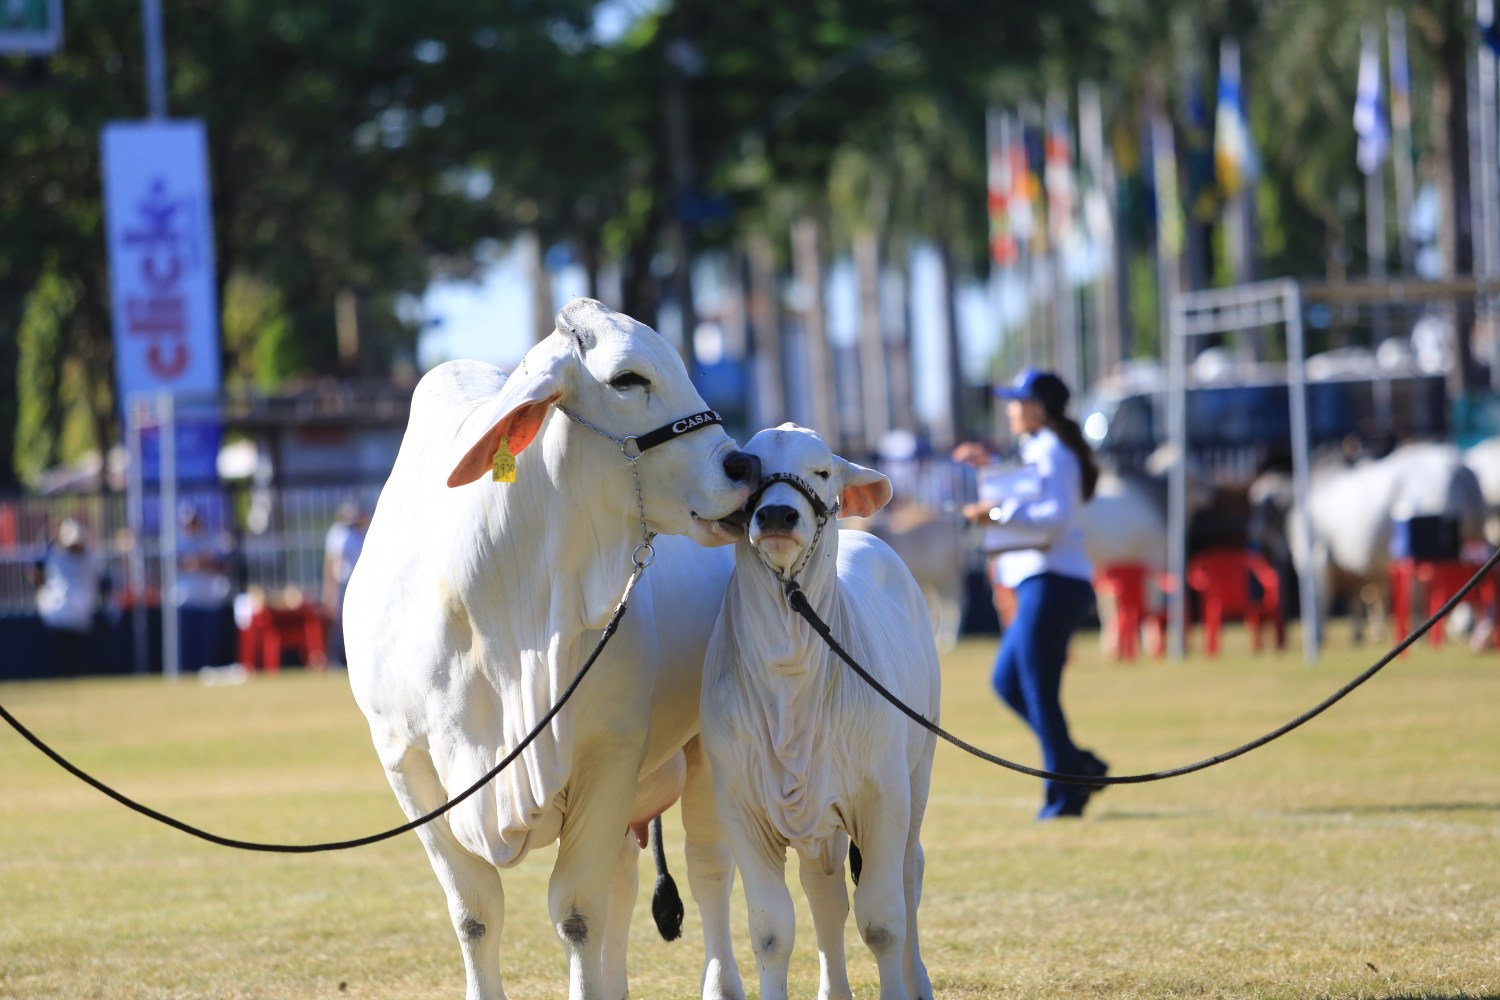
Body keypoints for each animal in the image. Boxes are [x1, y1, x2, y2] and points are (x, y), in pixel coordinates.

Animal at [343, 296, 756, 1000]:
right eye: (627, 379)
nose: (744, 467)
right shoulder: (406, 765)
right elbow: (475, 913)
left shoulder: (608, 753)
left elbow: (577, 913)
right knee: (625, 882)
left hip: (702, 750)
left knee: (707, 872)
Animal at [702, 425, 936, 1000]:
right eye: (749, 468)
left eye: (823, 471)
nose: (778, 516)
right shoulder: (742, 810)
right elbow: (771, 932)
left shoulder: (882, 801)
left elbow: (883, 922)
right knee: (825, 895)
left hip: (918, 774)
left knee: (909, 873)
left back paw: (917, 980)